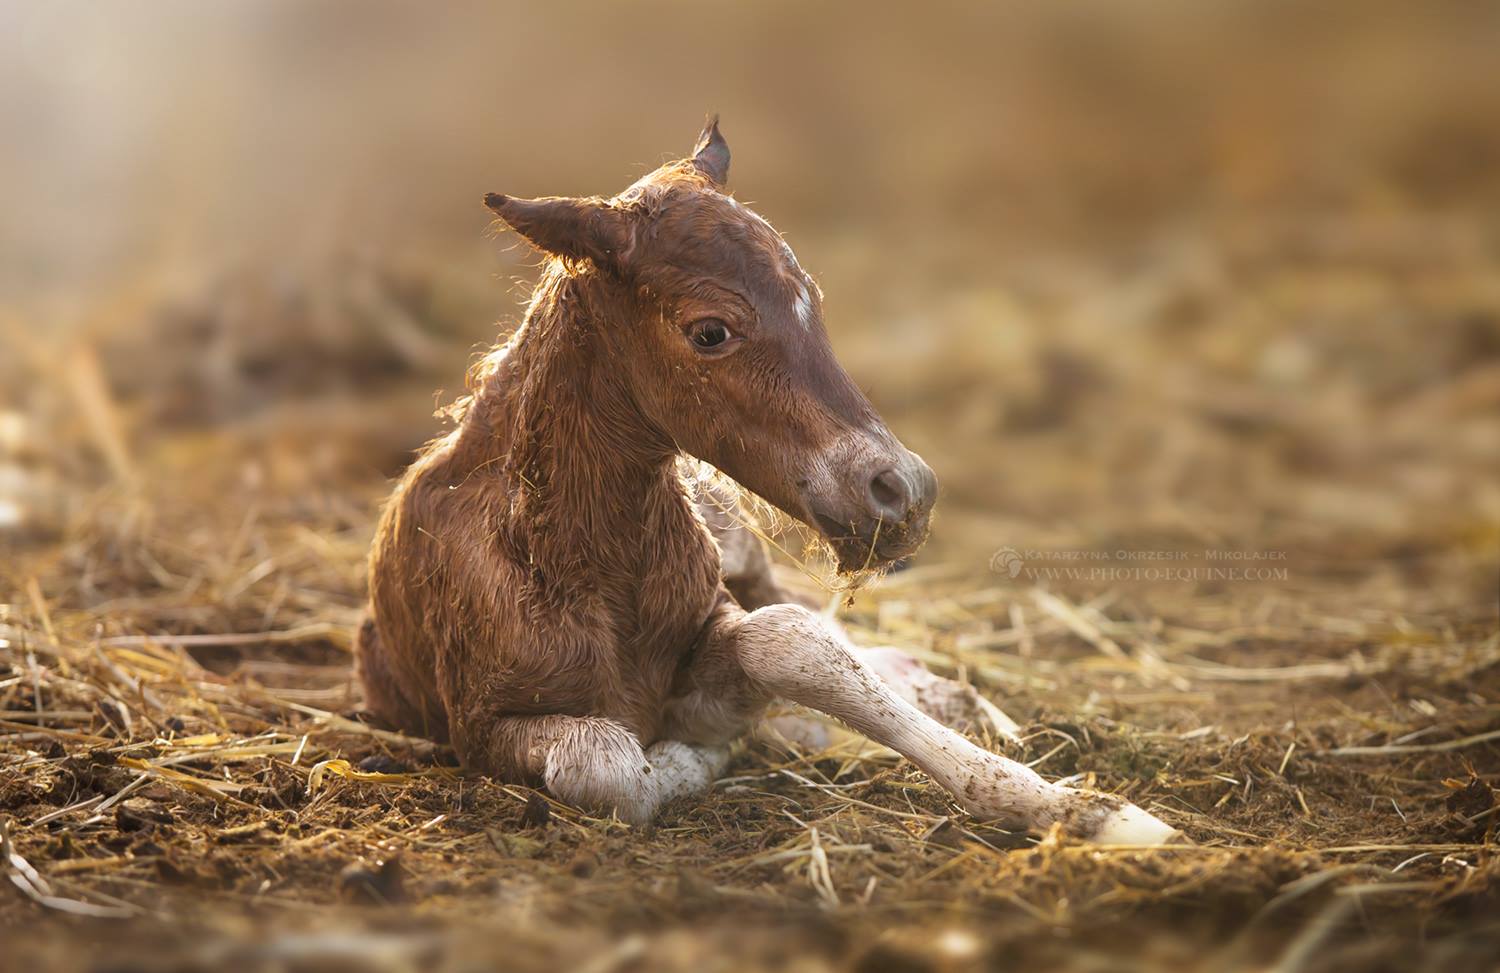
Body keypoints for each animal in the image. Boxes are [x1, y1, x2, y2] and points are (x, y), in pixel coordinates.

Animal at [357, 115, 1176, 839]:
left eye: (812, 299)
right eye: (710, 331)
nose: (905, 491)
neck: (568, 561)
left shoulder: (728, 615)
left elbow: (791, 643)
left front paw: (1090, 812)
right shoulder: (475, 725)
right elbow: (612, 764)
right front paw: (704, 745)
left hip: (748, 555)